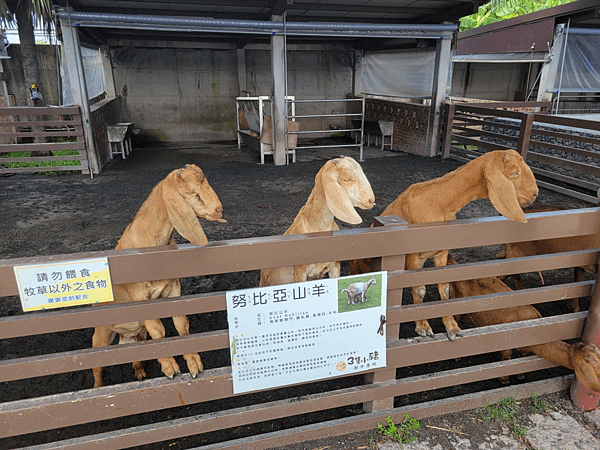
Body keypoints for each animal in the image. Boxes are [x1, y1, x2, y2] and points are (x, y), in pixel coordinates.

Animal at [91, 163, 225, 388]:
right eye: (194, 194)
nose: (219, 209)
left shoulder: (173, 289)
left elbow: (181, 324)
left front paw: (194, 364)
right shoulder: (140, 296)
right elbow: (158, 329)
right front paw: (170, 368)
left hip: (137, 334)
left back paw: (139, 373)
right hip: (100, 336)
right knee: (97, 367)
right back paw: (98, 388)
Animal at [350, 149, 536, 342]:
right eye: (514, 173)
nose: (535, 194)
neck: (440, 202)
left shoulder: (441, 252)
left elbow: (444, 288)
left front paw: (452, 327)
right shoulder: (412, 254)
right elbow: (420, 290)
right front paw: (423, 327)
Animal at [448, 255, 600, 392]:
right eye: (595, 361)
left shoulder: (525, 349)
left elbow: (520, 360)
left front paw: (520, 376)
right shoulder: (507, 342)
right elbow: (506, 358)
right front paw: (504, 379)